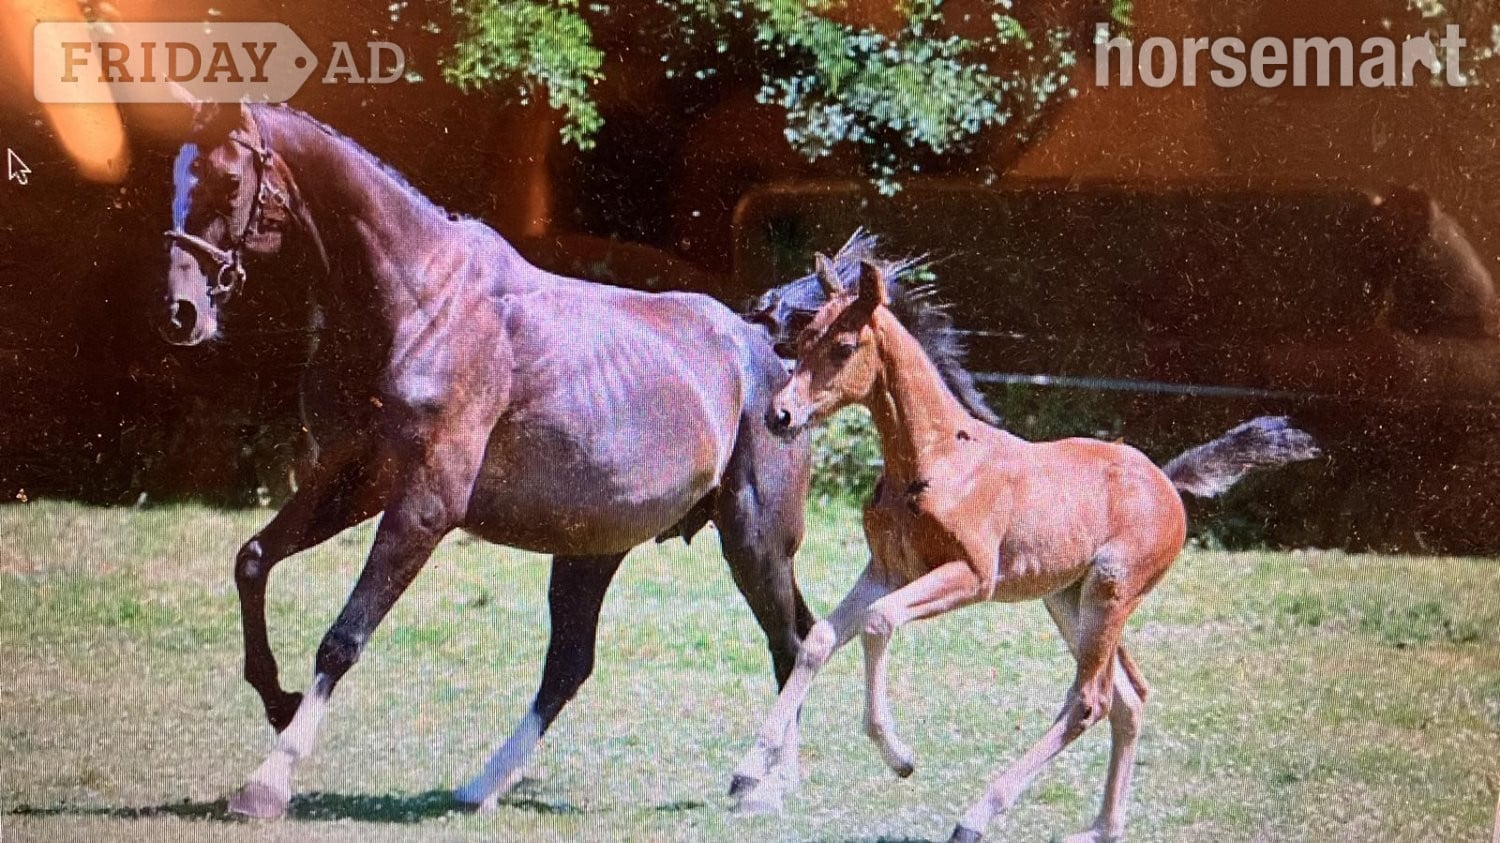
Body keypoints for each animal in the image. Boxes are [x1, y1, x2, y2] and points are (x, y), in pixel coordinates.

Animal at [158, 97, 826, 819]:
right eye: (176, 173)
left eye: (228, 178)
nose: (183, 312)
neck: (421, 302)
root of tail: (768, 353)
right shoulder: (354, 476)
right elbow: (252, 559)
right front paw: (278, 701)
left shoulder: (424, 505)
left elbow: (342, 638)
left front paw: (267, 782)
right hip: (593, 550)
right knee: (573, 665)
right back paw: (483, 786)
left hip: (754, 540)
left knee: (792, 644)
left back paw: (761, 783)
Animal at [729, 256, 1320, 842]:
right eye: (803, 340)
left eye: (844, 346)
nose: (779, 415)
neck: (937, 460)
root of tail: (1168, 482)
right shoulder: (888, 569)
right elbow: (819, 640)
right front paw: (747, 772)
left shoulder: (971, 576)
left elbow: (878, 621)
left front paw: (899, 756)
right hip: (1068, 599)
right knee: (1128, 698)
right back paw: (1100, 829)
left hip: (1111, 590)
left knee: (1089, 702)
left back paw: (976, 816)